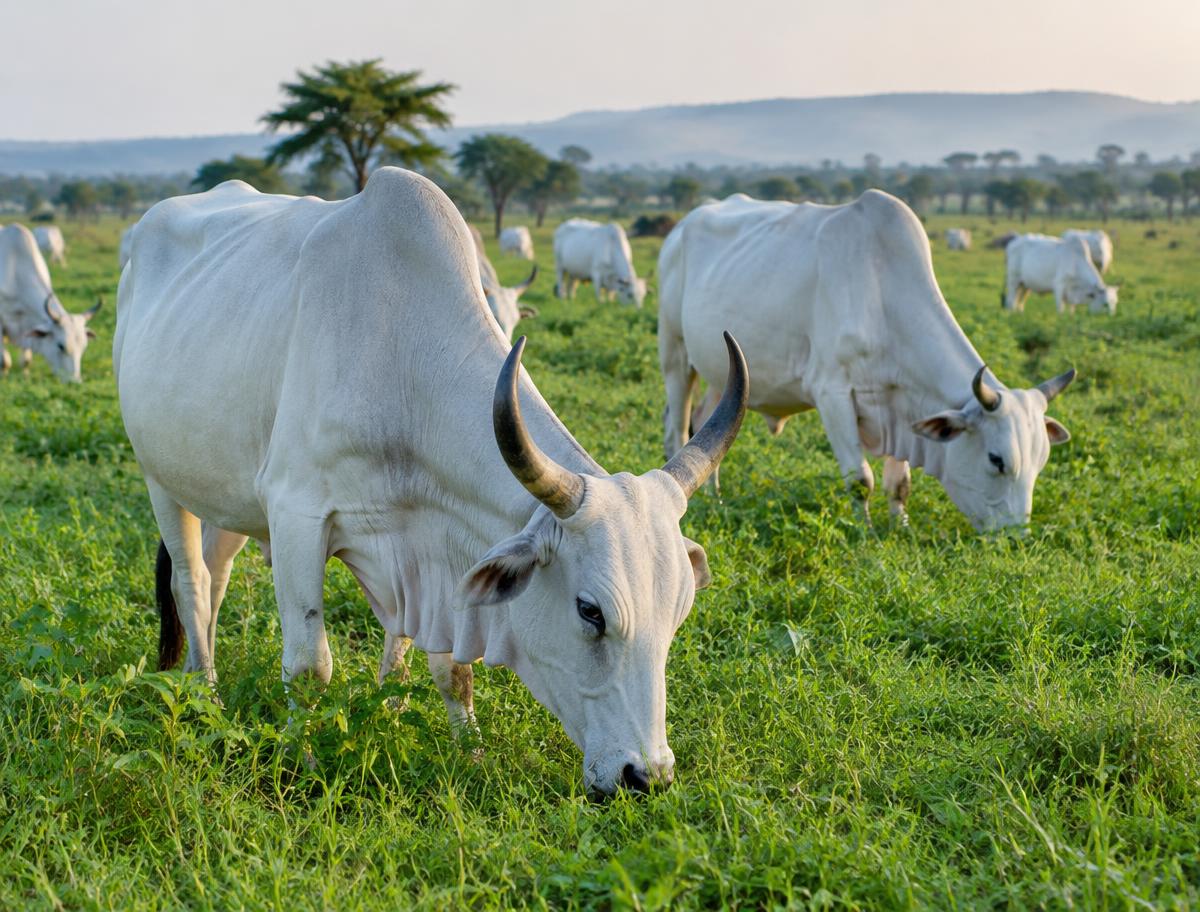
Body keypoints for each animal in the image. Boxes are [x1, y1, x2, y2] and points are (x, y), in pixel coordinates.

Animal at [1, 224, 100, 382]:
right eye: (61, 346)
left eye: (83, 347)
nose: (74, 382)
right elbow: (4, 360)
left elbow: (26, 360)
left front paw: (25, 375)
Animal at [114, 169, 748, 799]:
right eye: (590, 611)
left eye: (679, 610)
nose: (647, 775)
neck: (400, 361)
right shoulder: (296, 517)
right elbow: (308, 666)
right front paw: (303, 764)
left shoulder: (432, 555)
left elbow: (448, 665)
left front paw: (451, 743)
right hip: (161, 480)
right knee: (193, 583)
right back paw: (206, 694)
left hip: (227, 496)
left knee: (217, 578)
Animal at [659, 191, 1075, 532]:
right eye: (997, 460)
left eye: (1041, 460)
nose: (1016, 536)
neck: (881, 292)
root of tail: (681, 227)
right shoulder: (832, 395)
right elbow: (860, 480)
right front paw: (866, 531)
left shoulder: (900, 404)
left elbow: (899, 483)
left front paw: (900, 526)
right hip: (675, 353)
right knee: (678, 425)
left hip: (723, 372)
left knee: (707, 420)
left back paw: (716, 497)